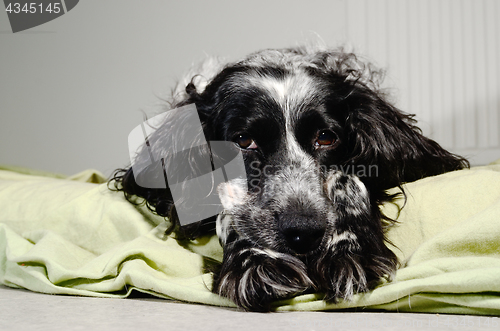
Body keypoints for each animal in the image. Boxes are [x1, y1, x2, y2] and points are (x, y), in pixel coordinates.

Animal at [112, 46, 468, 312]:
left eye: (326, 137)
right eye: (243, 141)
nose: (303, 232)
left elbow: (348, 180)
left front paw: (349, 249)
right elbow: (231, 209)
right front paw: (256, 262)